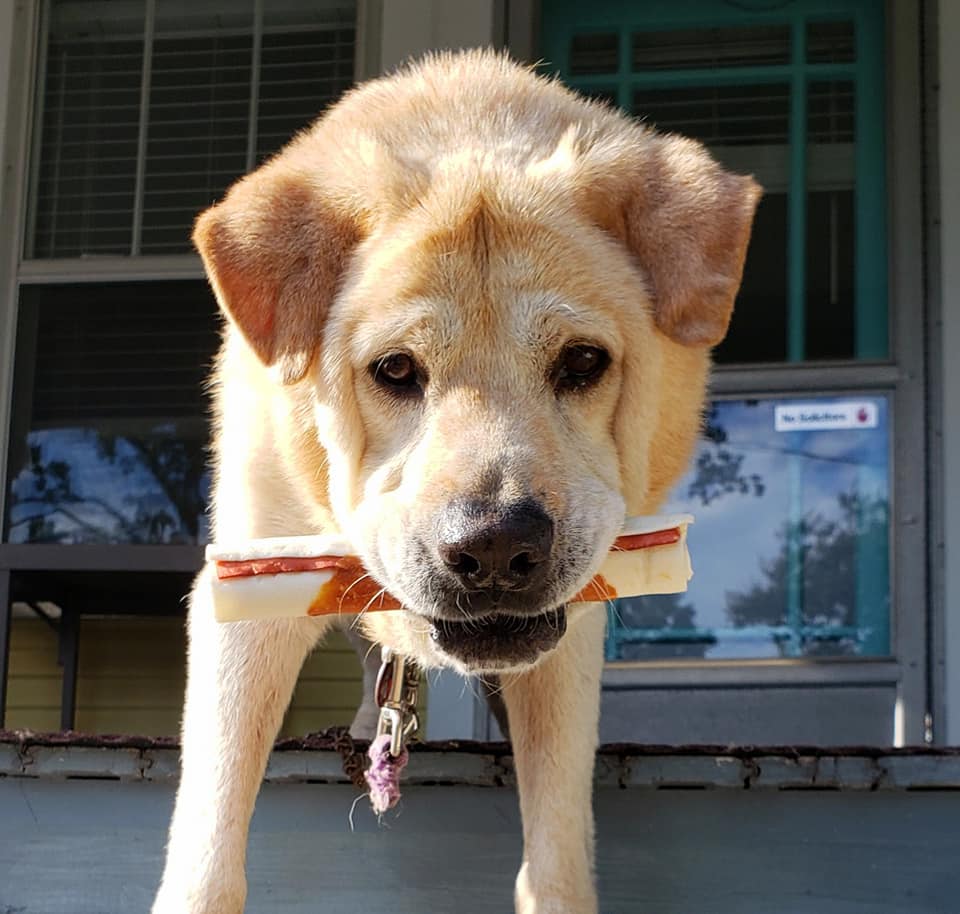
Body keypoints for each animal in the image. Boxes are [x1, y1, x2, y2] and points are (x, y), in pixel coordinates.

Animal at [154, 51, 760, 912]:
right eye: (395, 370)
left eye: (583, 361)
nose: (498, 547)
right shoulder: (245, 590)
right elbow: (209, 847)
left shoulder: (570, 642)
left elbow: (556, 851)